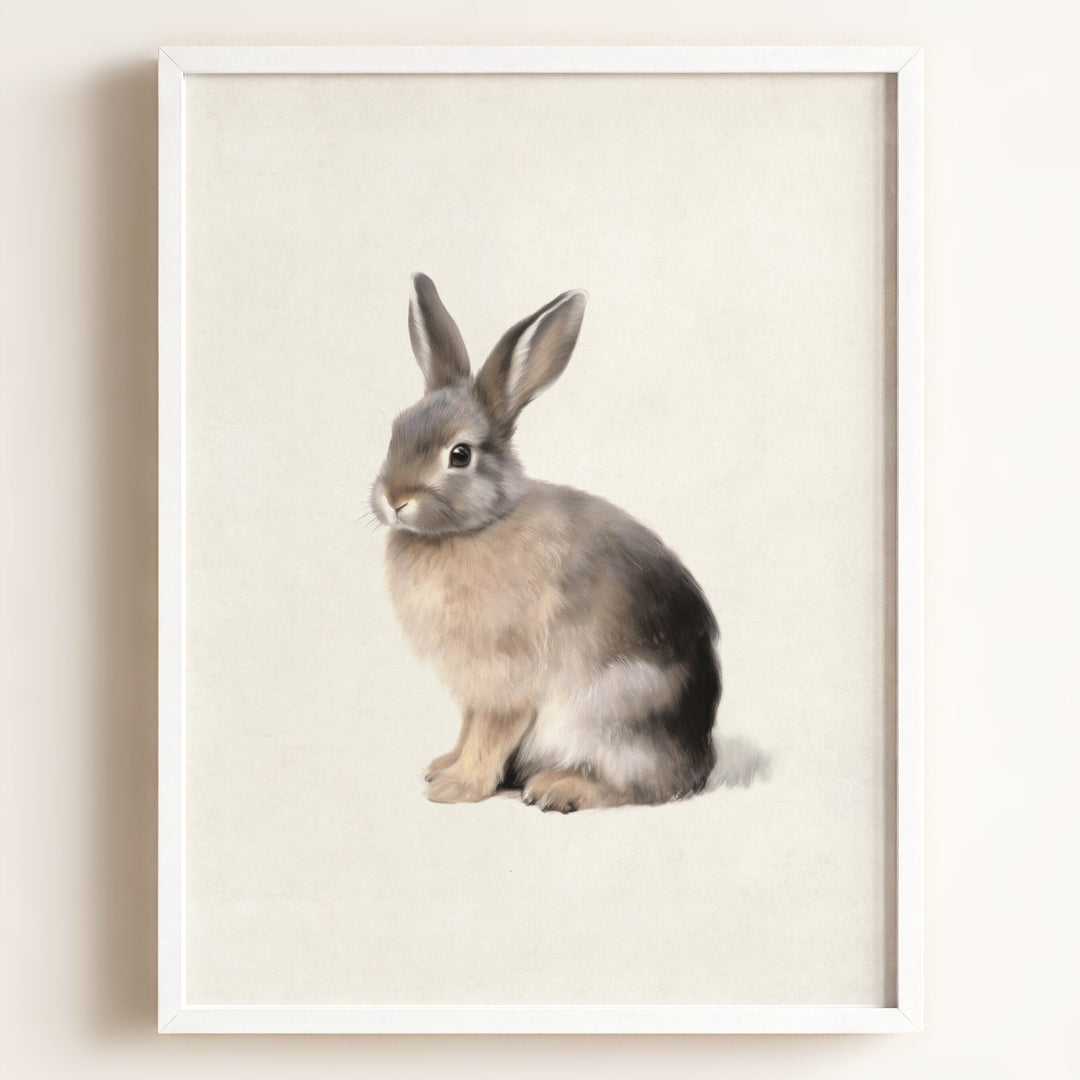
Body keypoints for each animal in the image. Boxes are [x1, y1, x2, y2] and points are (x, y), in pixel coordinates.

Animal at [369, 274, 721, 812]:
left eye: (459, 454)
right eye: (396, 431)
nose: (394, 500)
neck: (477, 526)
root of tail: (700, 759)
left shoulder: (505, 680)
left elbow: (490, 733)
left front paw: (455, 788)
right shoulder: (474, 688)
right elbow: (468, 729)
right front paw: (442, 767)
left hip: (609, 709)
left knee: (638, 787)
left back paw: (558, 788)